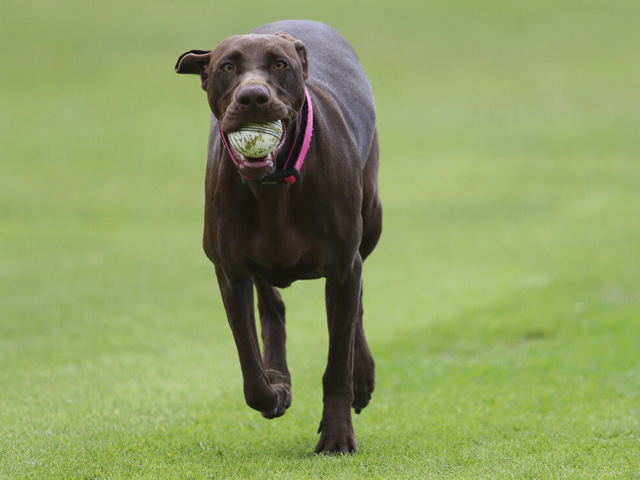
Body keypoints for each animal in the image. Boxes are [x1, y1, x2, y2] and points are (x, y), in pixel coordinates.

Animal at [175, 19, 382, 454]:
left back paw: (363, 377)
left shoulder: (342, 267)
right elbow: (250, 369)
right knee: (272, 306)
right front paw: (275, 390)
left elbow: (337, 362)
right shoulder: (230, 272)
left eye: (279, 64)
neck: (273, 188)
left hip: (371, 221)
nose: (254, 97)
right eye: (227, 66)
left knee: (356, 305)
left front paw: (337, 436)